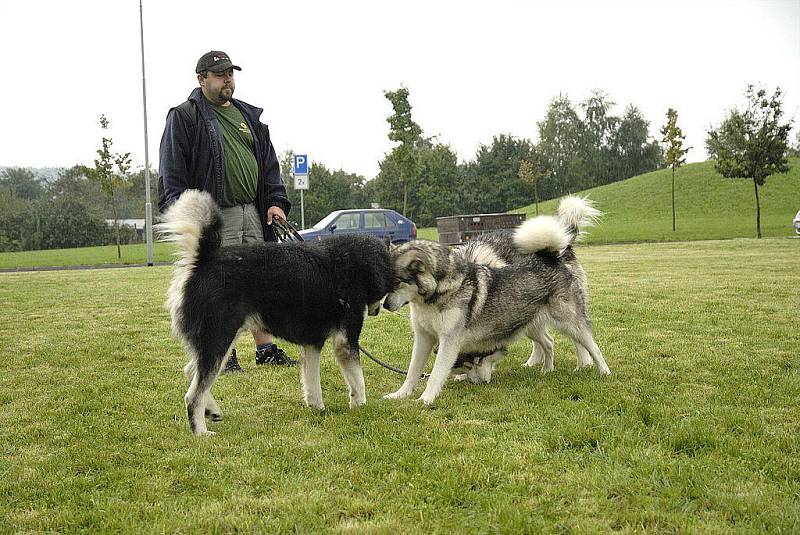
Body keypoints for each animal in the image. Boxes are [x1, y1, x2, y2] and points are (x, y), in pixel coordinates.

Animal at [157, 191, 394, 438]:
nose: (379, 310)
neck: (357, 263)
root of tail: (202, 260)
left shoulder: (312, 343)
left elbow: (312, 380)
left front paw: (317, 407)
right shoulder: (345, 342)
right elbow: (358, 379)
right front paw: (361, 405)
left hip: (217, 343)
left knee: (191, 372)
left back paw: (211, 410)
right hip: (219, 341)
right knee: (193, 395)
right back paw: (201, 432)